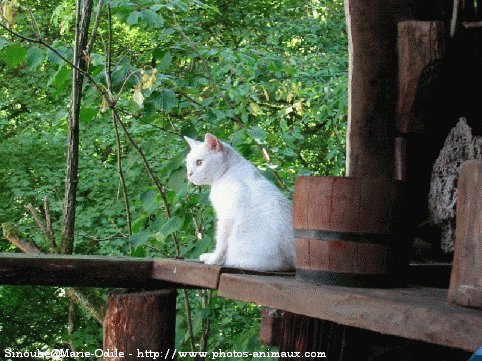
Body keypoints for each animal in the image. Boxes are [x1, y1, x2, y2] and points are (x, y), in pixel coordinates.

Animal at [185, 132, 296, 270]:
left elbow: (220, 244)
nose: (189, 174)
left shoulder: (226, 217)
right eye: (188, 164)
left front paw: (213, 260)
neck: (226, 173)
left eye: (199, 162)